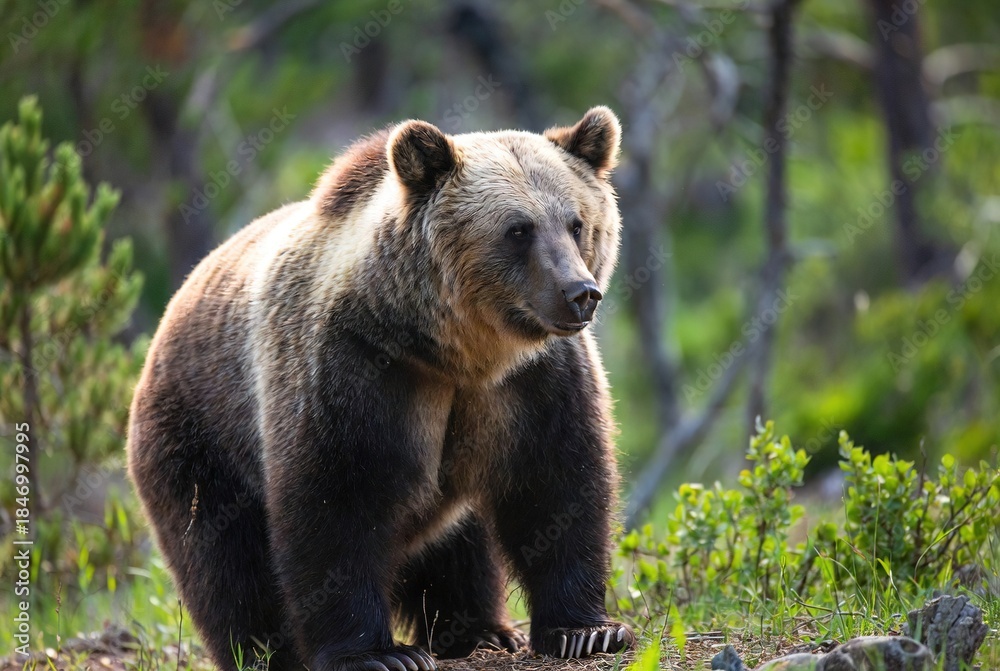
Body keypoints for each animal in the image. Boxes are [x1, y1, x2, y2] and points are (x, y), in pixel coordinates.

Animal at [127, 106, 634, 671]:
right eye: (518, 229)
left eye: (576, 222)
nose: (580, 293)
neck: (458, 353)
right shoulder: (354, 368)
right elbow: (337, 502)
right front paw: (379, 654)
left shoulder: (533, 380)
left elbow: (557, 484)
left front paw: (586, 630)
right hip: (198, 435)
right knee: (223, 558)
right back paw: (260, 652)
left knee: (461, 545)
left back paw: (481, 632)